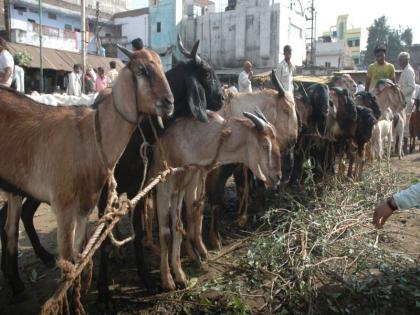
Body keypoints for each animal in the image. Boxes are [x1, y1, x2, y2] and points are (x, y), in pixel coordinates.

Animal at [0, 48, 173, 296]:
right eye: (142, 70)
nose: (169, 102)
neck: (91, 135)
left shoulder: (85, 206)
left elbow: (77, 260)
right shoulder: (63, 207)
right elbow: (67, 264)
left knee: (10, 227)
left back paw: (16, 282)